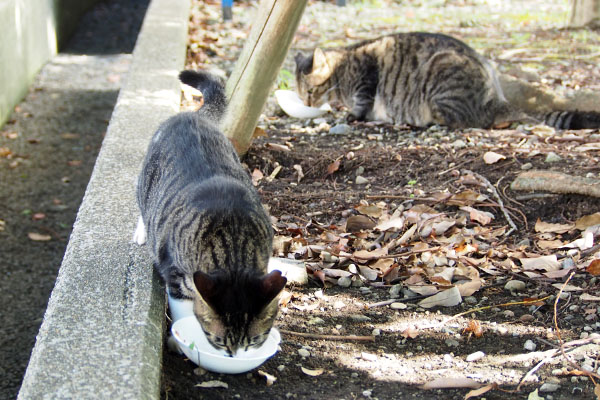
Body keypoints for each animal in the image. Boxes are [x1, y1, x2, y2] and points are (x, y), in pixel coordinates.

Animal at [135, 70, 286, 354]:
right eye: (219, 341)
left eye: (254, 341)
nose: (233, 355)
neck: (234, 244)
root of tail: (191, 114)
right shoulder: (176, 277)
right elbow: (185, 311)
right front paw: (180, 339)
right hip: (145, 183)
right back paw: (141, 232)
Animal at [296, 33, 600, 130]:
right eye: (301, 94)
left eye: (310, 90)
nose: (307, 101)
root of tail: (497, 98)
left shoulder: (367, 75)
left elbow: (361, 102)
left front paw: (352, 115)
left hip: (440, 72)